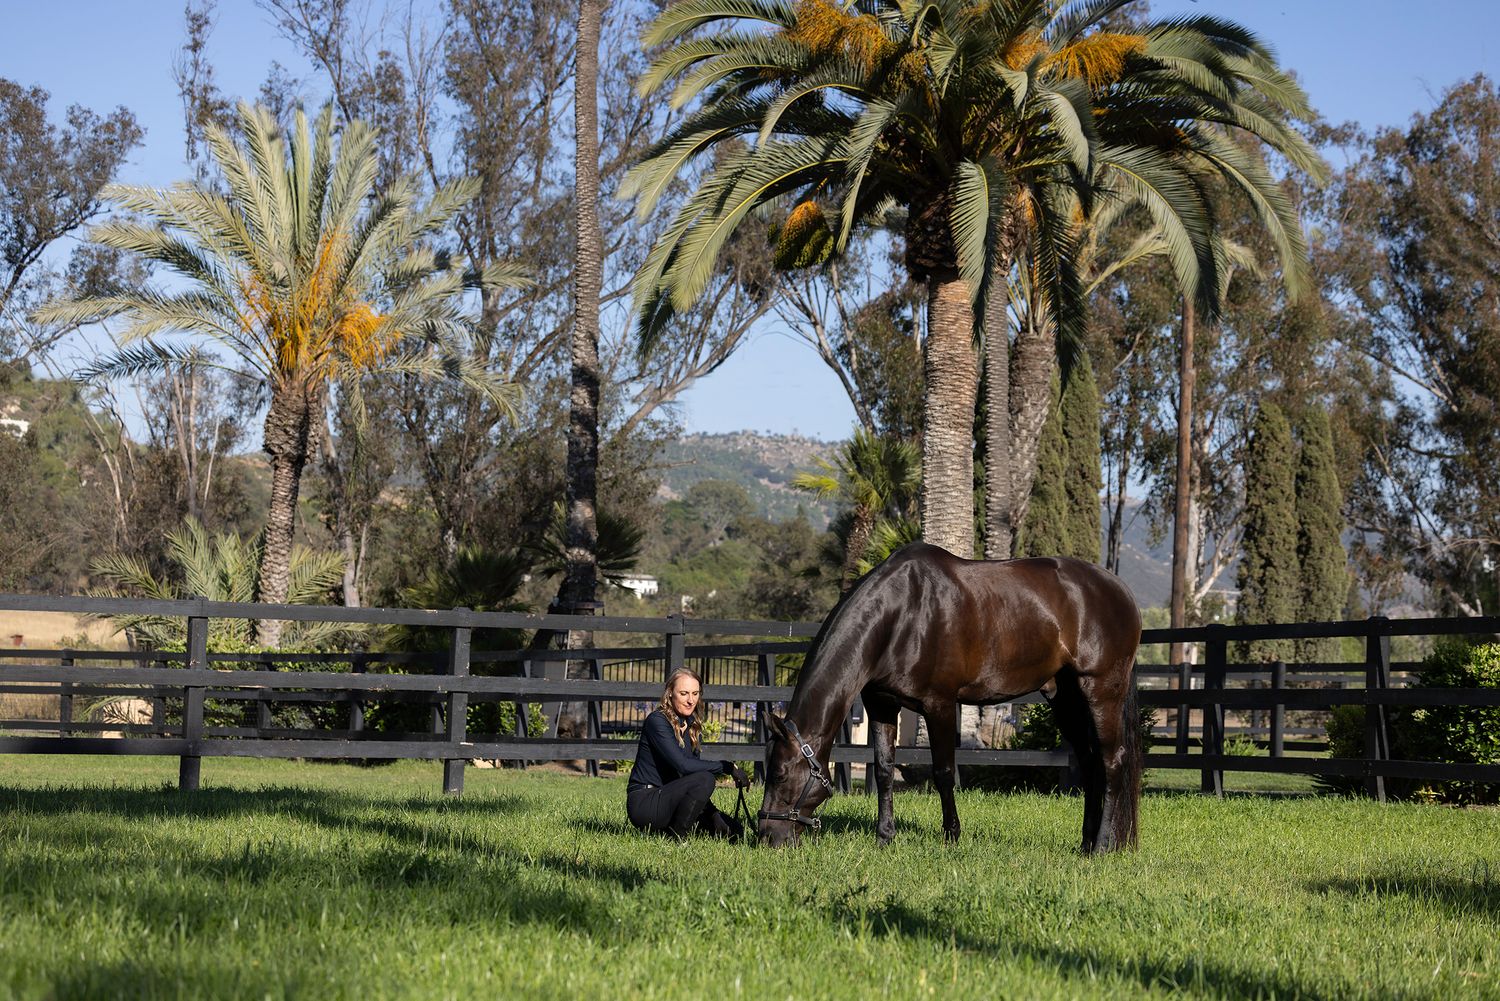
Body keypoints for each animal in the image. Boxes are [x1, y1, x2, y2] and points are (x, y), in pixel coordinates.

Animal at [756, 542, 1142, 853]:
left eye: (779, 774)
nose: (767, 837)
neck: (900, 613)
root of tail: (1122, 591)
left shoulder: (939, 704)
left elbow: (942, 772)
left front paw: (951, 836)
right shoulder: (882, 704)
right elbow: (883, 770)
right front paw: (885, 837)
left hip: (1100, 690)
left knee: (1112, 760)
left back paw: (1102, 846)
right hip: (1065, 698)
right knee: (1090, 761)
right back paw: (1086, 842)